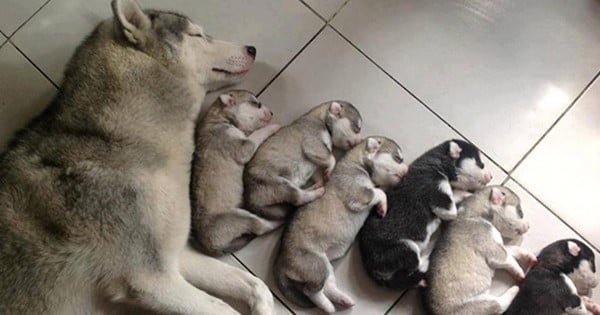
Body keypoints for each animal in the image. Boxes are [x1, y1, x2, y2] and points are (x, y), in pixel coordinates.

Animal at [190, 90, 282, 258]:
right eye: (257, 104)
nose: (272, 112)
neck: (222, 119)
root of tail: (209, 246)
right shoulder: (243, 146)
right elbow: (256, 135)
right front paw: (273, 127)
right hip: (239, 217)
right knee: (261, 227)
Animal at [276, 136, 408, 314]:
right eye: (397, 158)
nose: (408, 169)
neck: (358, 162)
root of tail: (280, 259)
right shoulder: (358, 193)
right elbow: (378, 192)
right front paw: (383, 205)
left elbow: (381, 190)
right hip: (316, 266)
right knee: (311, 291)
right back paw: (328, 306)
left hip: (325, 267)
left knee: (328, 288)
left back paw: (342, 300)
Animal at [358, 139, 490, 290]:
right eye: (481, 164)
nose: (491, 176)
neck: (436, 163)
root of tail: (369, 266)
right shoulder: (439, 194)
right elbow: (453, 199)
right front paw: (466, 194)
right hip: (405, 249)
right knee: (415, 265)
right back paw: (428, 254)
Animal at [422, 186, 536, 315]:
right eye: (521, 212)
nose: (529, 225)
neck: (476, 215)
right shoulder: (493, 249)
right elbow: (509, 259)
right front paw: (519, 270)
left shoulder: (497, 245)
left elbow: (511, 249)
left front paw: (526, 255)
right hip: (478, 305)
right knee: (499, 305)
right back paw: (514, 290)